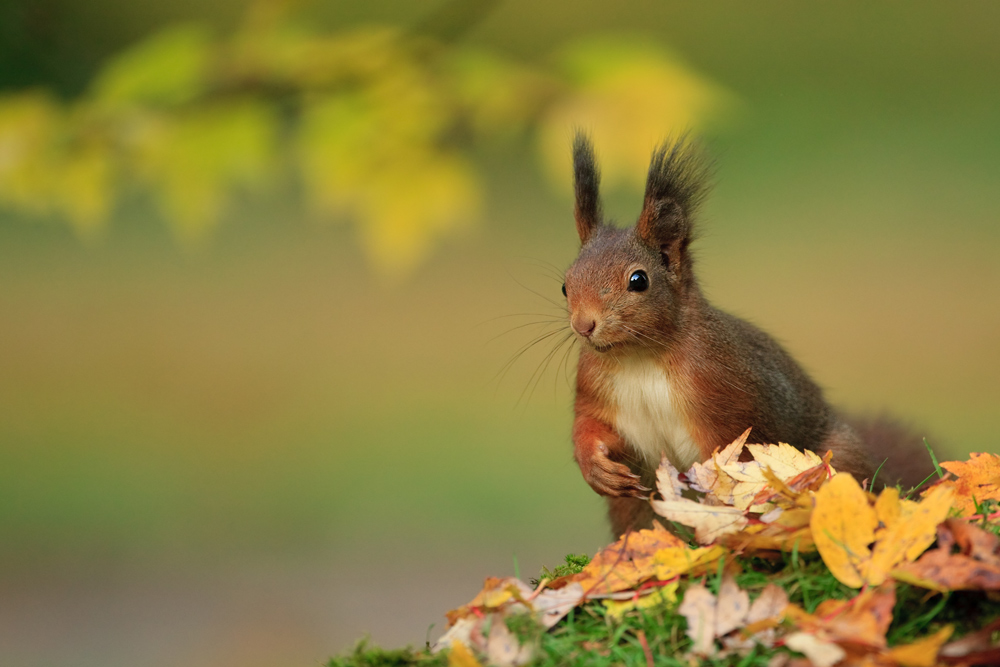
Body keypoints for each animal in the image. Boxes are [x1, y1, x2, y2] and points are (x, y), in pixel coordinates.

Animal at [564, 134, 936, 536]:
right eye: (566, 285)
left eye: (638, 280)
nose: (583, 325)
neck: (638, 358)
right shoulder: (594, 388)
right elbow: (589, 426)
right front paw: (595, 466)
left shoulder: (729, 393)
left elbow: (737, 460)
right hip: (635, 510)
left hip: (837, 463)